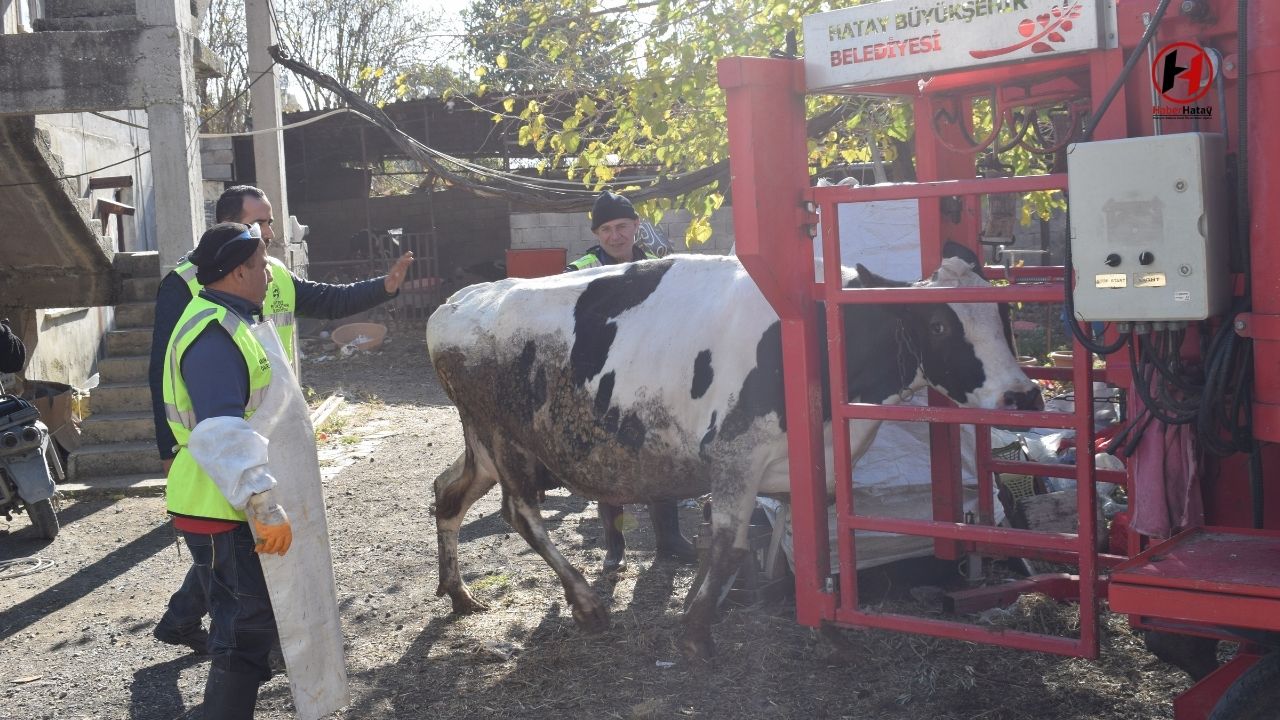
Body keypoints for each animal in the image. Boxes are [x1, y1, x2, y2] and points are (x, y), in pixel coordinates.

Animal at [424, 242, 1044, 655]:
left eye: (1005, 313)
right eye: (939, 324)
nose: (1023, 394)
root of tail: (458, 301)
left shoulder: (807, 463)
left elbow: (804, 532)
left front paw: (781, 599)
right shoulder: (734, 452)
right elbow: (727, 544)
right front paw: (698, 630)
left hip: (483, 444)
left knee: (447, 493)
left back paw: (458, 593)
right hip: (504, 440)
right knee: (521, 514)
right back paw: (587, 604)